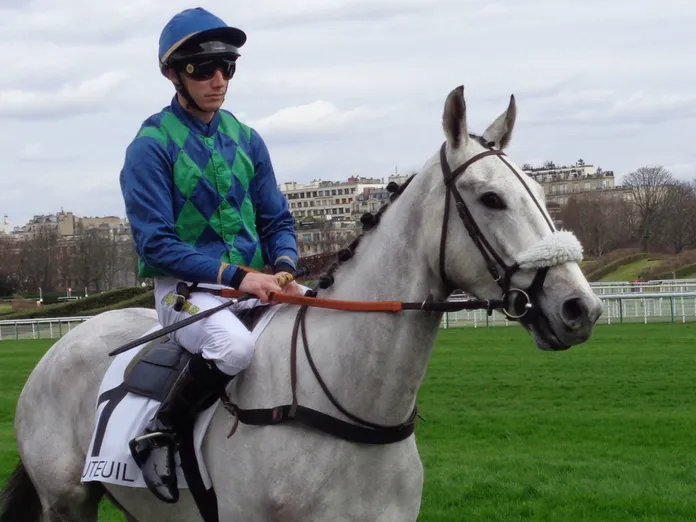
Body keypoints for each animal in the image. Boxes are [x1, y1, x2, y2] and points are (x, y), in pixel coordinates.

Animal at [0, 85, 602, 522]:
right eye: (492, 198)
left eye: (543, 193)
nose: (580, 308)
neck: (345, 403)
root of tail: (66, 343)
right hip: (68, 503)